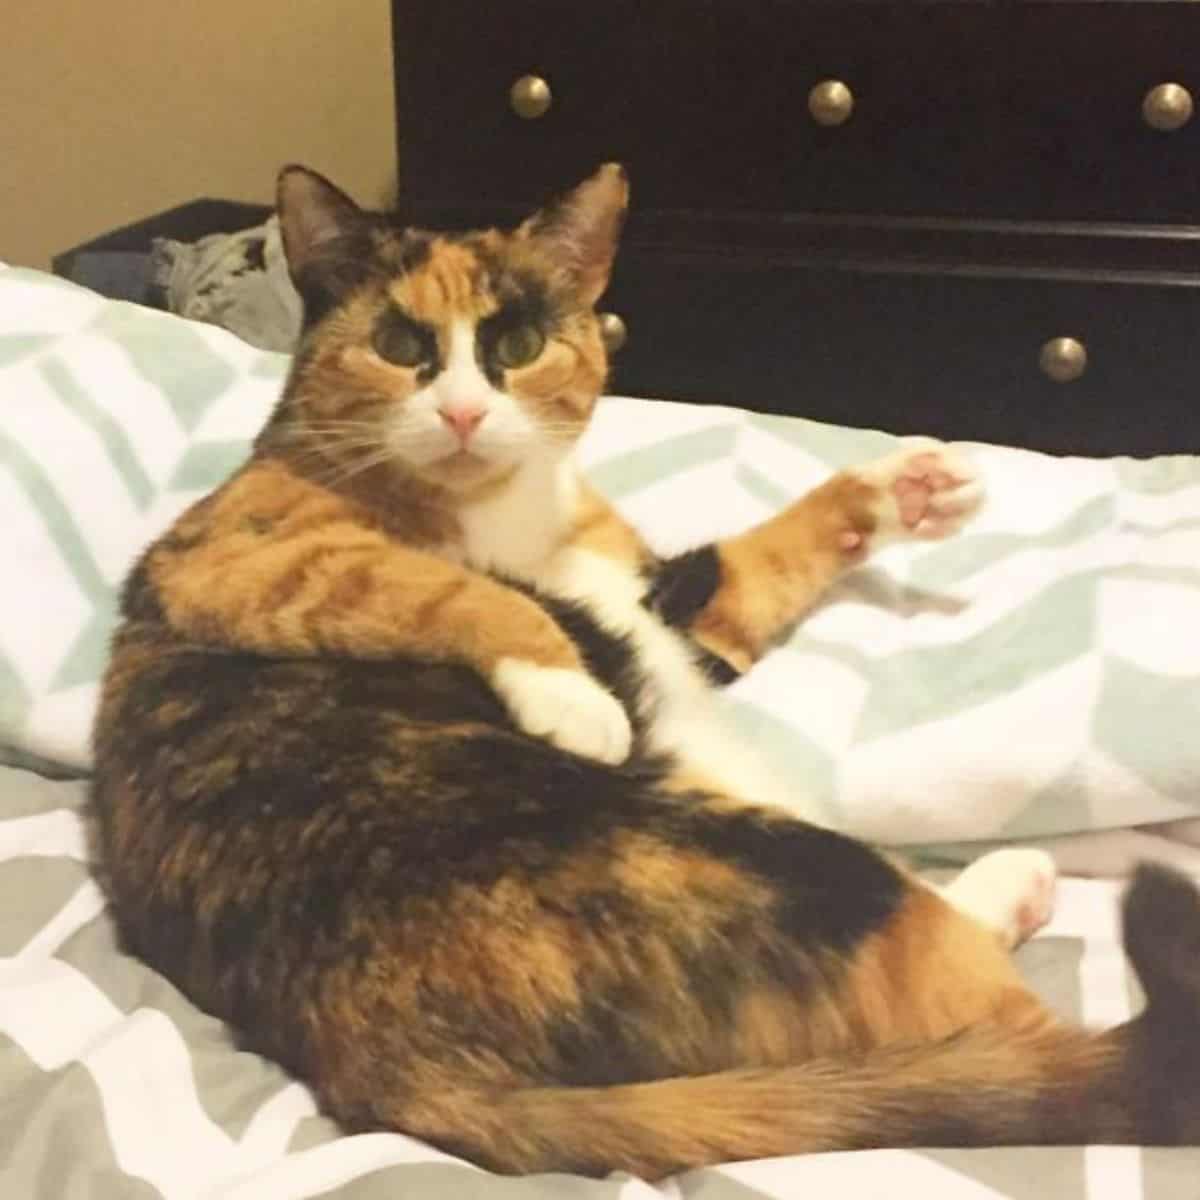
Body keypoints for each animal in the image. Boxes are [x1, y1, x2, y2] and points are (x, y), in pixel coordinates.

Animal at [91, 159, 1200, 1171]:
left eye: (518, 344)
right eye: (402, 345)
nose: (461, 414)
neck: (520, 511)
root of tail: (387, 1063)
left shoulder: (672, 603)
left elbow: (758, 556)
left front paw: (905, 489)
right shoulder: (233, 556)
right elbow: (439, 587)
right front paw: (572, 696)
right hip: (795, 866)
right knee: (1001, 1040)